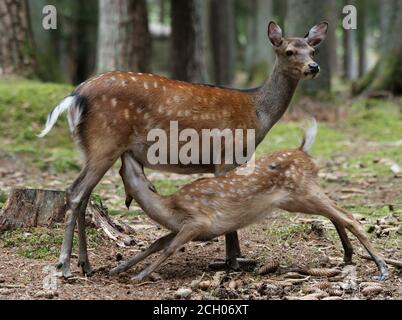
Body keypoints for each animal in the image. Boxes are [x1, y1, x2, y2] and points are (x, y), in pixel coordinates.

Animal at [39, 21, 330, 278]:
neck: (258, 114)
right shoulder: (227, 154)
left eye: (313, 50)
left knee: (84, 196)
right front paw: (233, 260)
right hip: (105, 141)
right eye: (289, 51)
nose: (314, 67)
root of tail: (75, 96)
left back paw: (85, 265)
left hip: (90, 148)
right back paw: (64, 266)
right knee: (76, 192)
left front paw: (235, 257)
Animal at [108, 121, 388, 282]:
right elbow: (156, 243)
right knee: (338, 213)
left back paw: (382, 268)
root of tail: (304, 151)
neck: (169, 209)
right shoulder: (188, 228)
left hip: (302, 192)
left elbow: (169, 248)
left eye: (129, 170)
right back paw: (348, 256)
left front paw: (139, 276)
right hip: (300, 196)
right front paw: (120, 268)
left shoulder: (198, 222)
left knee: (349, 216)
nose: (126, 151)